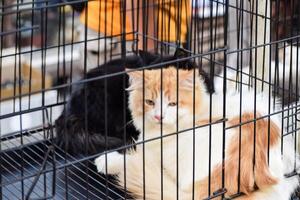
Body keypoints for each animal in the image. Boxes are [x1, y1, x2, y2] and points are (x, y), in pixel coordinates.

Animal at [95, 67, 298, 200]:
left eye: (173, 104)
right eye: (150, 102)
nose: (159, 116)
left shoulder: (157, 152)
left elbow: (130, 159)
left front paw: (105, 161)